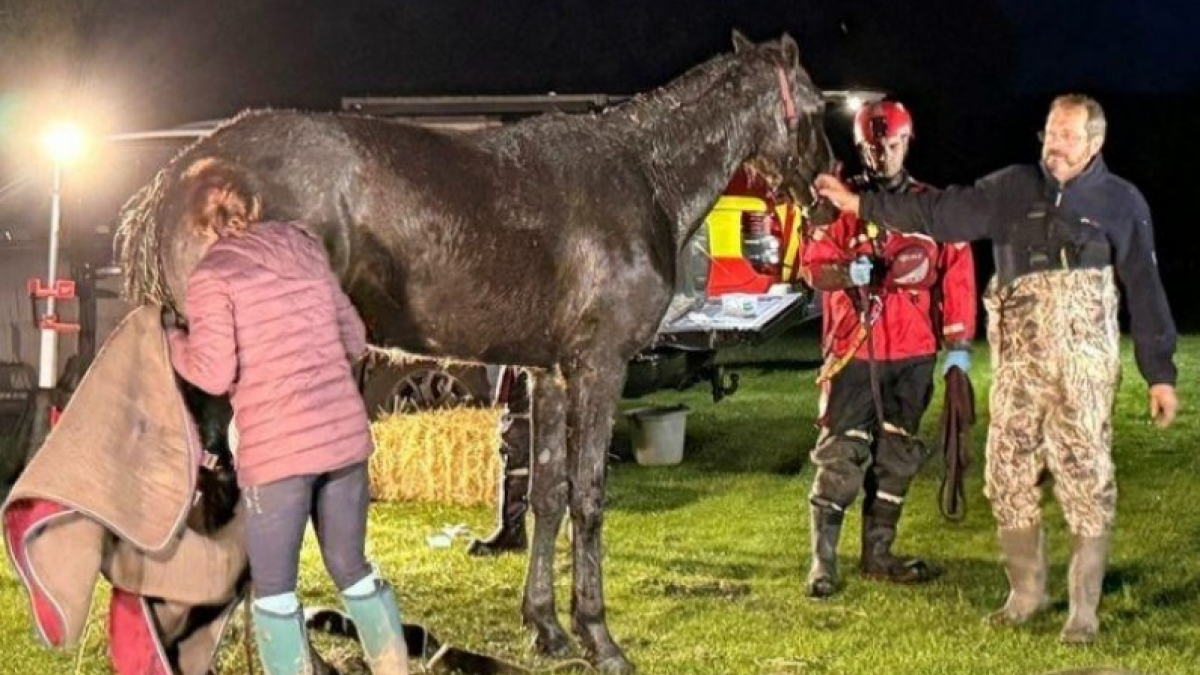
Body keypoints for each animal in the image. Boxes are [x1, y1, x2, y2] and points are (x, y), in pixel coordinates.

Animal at [118, 31, 834, 674]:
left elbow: (546, 494)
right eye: (816, 109)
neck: (644, 178)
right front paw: (599, 639)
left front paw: (547, 627)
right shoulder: (599, 366)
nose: (828, 198)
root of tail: (188, 172)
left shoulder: (549, 374)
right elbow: (588, 496)